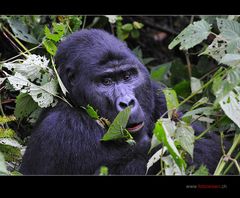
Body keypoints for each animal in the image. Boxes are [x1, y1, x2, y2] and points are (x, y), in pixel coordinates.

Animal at [18, 28, 229, 175]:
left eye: (127, 76)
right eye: (106, 81)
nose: (127, 103)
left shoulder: (158, 92)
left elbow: (210, 146)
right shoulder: (56, 129)